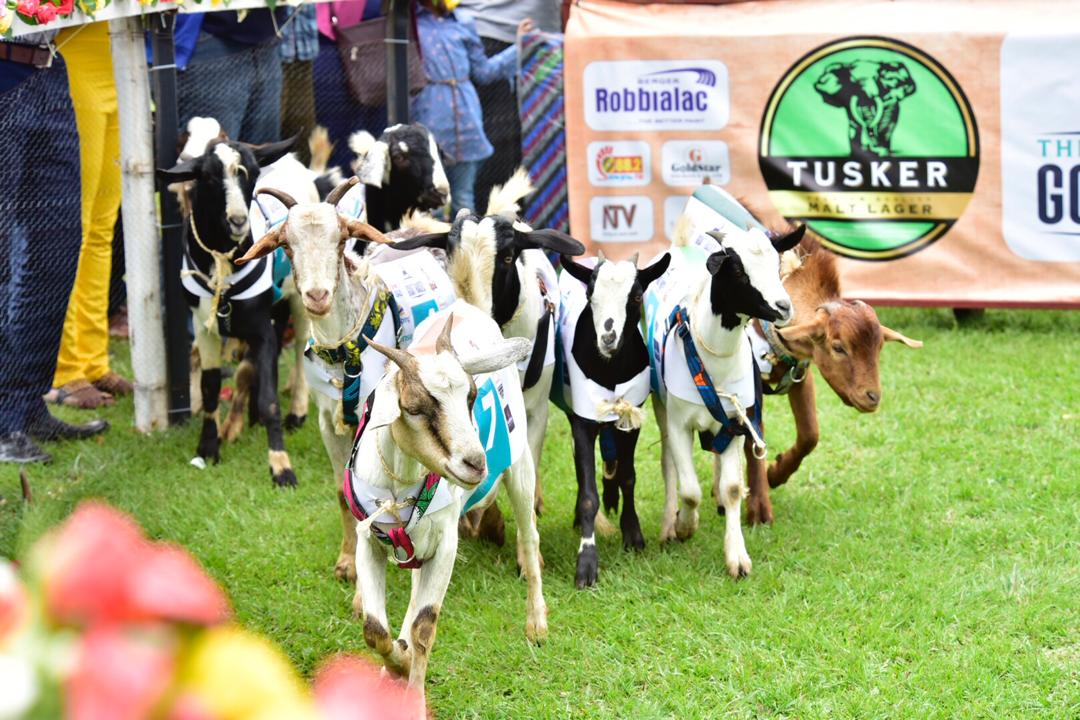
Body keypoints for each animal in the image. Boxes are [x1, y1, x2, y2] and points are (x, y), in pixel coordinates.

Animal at [160, 135, 305, 487]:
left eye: (251, 173)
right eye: (209, 177)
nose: (238, 221)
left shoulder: (261, 328)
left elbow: (269, 400)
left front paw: (281, 467)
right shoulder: (206, 328)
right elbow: (210, 388)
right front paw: (208, 448)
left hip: (301, 297)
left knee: (300, 350)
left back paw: (296, 411)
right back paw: (243, 421)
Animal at [236, 177, 457, 582]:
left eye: (341, 240)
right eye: (286, 245)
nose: (317, 295)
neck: (345, 353)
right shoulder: (328, 421)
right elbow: (343, 493)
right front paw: (346, 561)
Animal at [345, 305, 546, 706]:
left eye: (472, 396)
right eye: (414, 408)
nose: (476, 463)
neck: (399, 487)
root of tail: (467, 307)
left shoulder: (445, 545)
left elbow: (424, 627)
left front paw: (412, 690)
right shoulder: (369, 541)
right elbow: (375, 629)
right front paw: (398, 662)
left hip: (519, 464)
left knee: (530, 537)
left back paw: (537, 624)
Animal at [557, 252, 670, 588]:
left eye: (636, 296)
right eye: (590, 296)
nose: (608, 338)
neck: (610, 368)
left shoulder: (630, 415)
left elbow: (628, 476)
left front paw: (633, 534)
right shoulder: (582, 417)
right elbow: (587, 496)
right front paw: (586, 563)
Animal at [644, 221, 804, 578]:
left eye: (776, 264)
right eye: (740, 271)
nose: (785, 307)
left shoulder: (736, 421)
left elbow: (732, 488)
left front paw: (737, 557)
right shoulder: (679, 423)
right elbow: (690, 490)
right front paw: (685, 526)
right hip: (661, 405)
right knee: (668, 465)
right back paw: (668, 525)